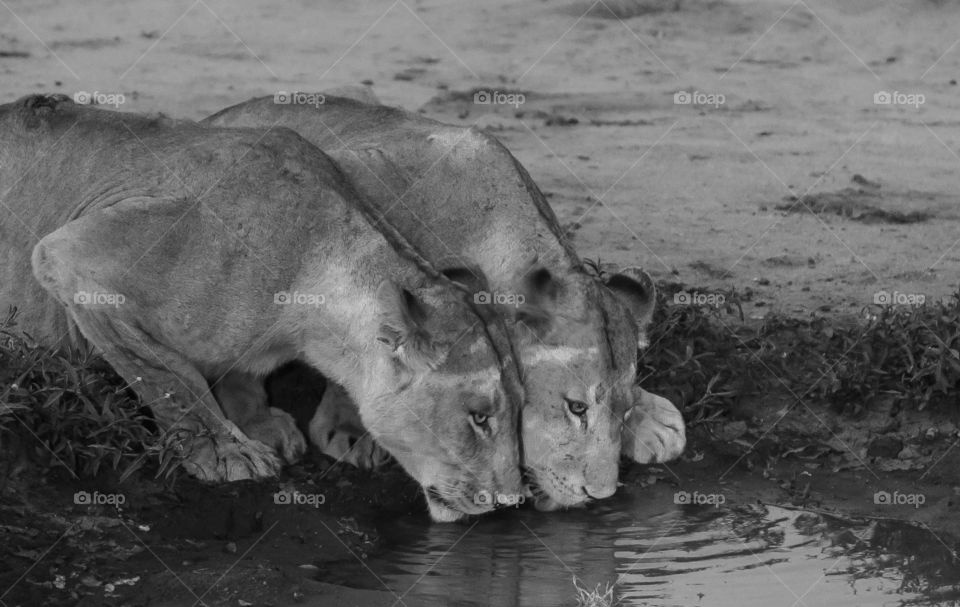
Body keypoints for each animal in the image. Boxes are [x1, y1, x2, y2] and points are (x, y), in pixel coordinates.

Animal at [0, 94, 525, 522]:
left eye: (521, 408)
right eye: (479, 416)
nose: (510, 501)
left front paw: (257, 421)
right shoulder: (71, 258)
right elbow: (170, 380)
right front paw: (225, 451)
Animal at [204, 91, 686, 510]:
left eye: (621, 412)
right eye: (576, 408)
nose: (599, 495)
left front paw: (652, 419)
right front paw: (347, 429)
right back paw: (257, 424)